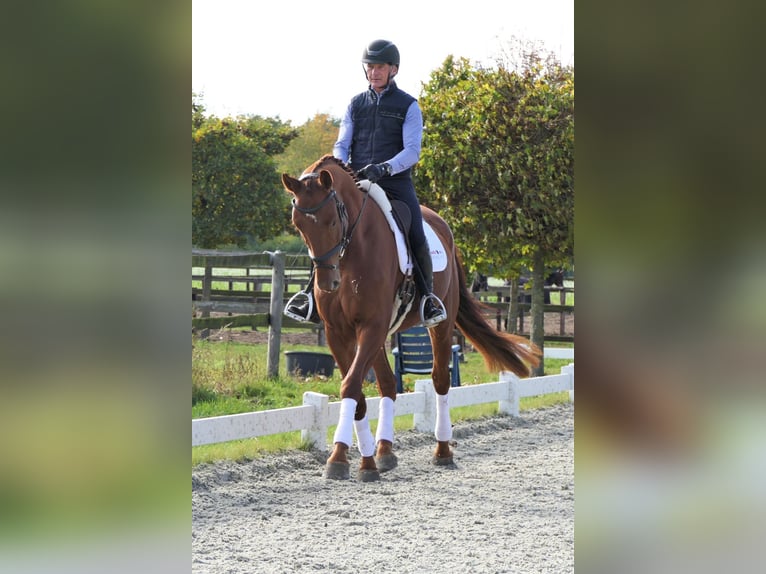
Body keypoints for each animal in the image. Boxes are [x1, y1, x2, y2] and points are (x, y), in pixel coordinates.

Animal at [281, 155, 541, 482]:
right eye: (298, 225)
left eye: (331, 220)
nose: (329, 283)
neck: (353, 252)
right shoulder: (338, 332)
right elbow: (357, 390)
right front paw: (363, 461)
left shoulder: (372, 326)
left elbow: (351, 385)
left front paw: (339, 457)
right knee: (388, 384)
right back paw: (383, 451)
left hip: (439, 324)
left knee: (440, 380)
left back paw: (442, 451)